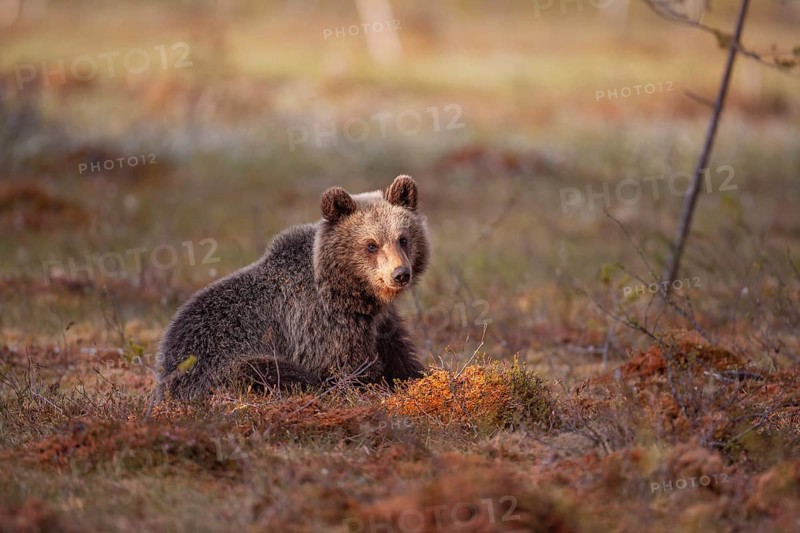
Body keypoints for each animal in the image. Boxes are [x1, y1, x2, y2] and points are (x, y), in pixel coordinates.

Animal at [154, 175, 430, 401]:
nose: (400, 274)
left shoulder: (379, 323)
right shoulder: (319, 324)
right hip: (215, 363)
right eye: (371, 245)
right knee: (260, 370)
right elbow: (347, 367)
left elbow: (400, 355)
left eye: (403, 239)